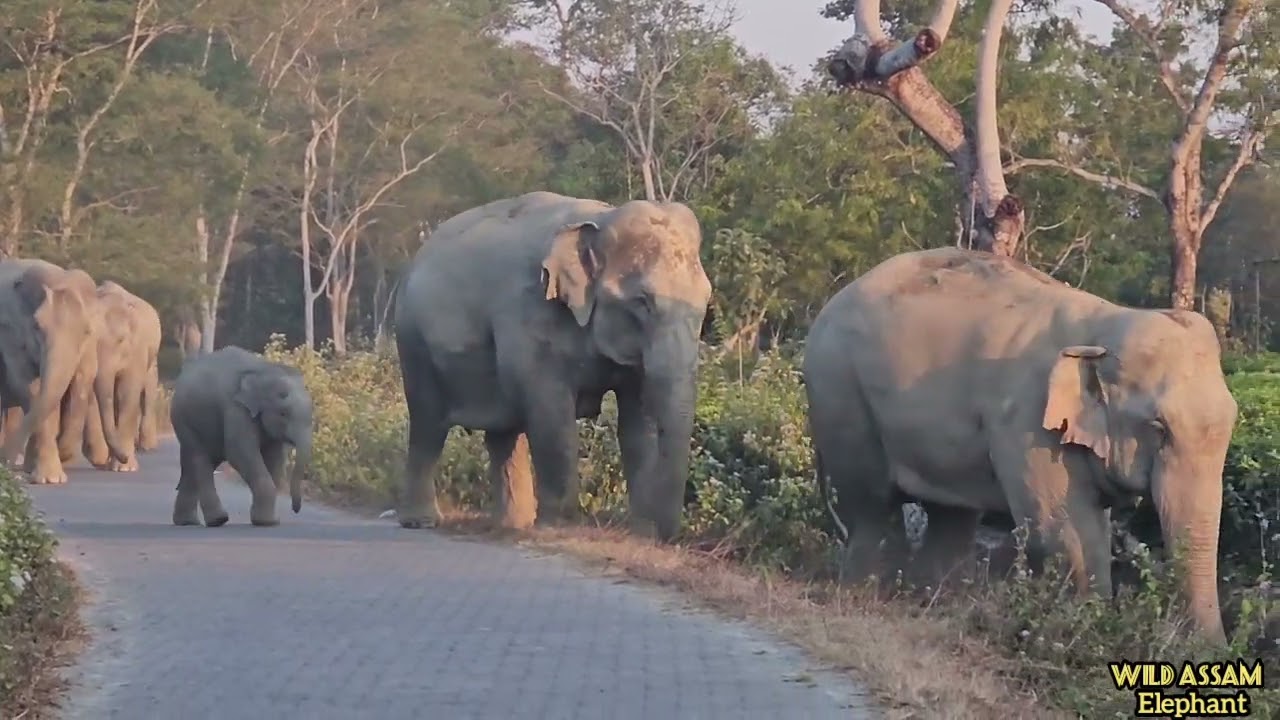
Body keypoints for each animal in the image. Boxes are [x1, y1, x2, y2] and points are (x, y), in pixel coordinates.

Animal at [0, 258, 128, 484]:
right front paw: (50, 479)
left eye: (87, 331)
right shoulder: (9, 335)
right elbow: (30, 388)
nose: (125, 458)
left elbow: (82, 380)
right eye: (36, 327)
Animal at [81, 281, 163, 472]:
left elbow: (126, 393)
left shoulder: (137, 350)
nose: (124, 457)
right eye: (86, 336)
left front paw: (124, 468)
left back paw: (145, 447)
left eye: (120, 340)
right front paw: (104, 460)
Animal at [169, 345, 311, 527]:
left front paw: (269, 521)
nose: (296, 509)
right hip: (184, 420)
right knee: (200, 459)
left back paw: (188, 522)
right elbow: (240, 453)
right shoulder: (235, 409)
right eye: (283, 413)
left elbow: (275, 459)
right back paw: (218, 520)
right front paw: (267, 522)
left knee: (195, 464)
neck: (265, 370)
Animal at [393, 191, 712, 540]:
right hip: (413, 342)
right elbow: (552, 413)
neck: (602, 219)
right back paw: (421, 521)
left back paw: (513, 526)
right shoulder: (531, 313)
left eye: (706, 299)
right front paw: (560, 529)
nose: (665, 536)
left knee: (503, 433)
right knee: (428, 426)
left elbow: (637, 423)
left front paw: (640, 532)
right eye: (642, 301)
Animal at [802, 247, 1237, 643]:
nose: (1210, 653)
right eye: (1158, 427)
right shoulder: (1027, 420)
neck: (1104, 324)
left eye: (1233, 422)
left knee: (950, 513)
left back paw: (937, 602)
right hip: (840, 391)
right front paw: (1087, 633)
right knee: (872, 502)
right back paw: (868, 595)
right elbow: (1066, 531)